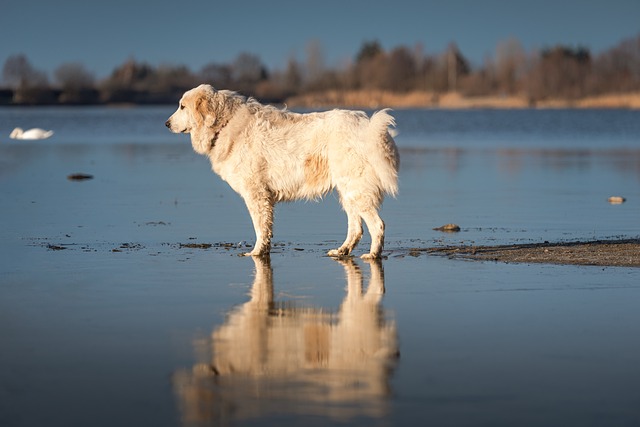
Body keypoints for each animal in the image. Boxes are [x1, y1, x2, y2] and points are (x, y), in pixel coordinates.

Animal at [165, 83, 398, 258]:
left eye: (182, 106)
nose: (166, 123)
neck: (226, 123)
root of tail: (368, 127)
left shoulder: (256, 193)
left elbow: (260, 226)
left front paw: (256, 252)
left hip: (356, 189)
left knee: (377, 225)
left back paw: (372, 255)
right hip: (347, 190)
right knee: (356, 228)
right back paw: (342, 251)